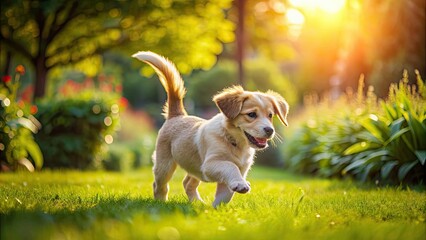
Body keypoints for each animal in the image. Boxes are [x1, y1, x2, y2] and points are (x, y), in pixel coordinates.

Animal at [131, 50, 288, 206]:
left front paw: (214, 209)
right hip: (165, 164)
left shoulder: (240, 169)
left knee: (187, 183)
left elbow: (225, 195)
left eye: (270, 115)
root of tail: (177, 115)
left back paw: (197, 203)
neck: (235, 142)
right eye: (251, 114)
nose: (270, 130)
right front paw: (241, 184)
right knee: (159, 185)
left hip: (194, 167)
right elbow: (230, 166)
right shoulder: (210, 164)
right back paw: (161, 202)